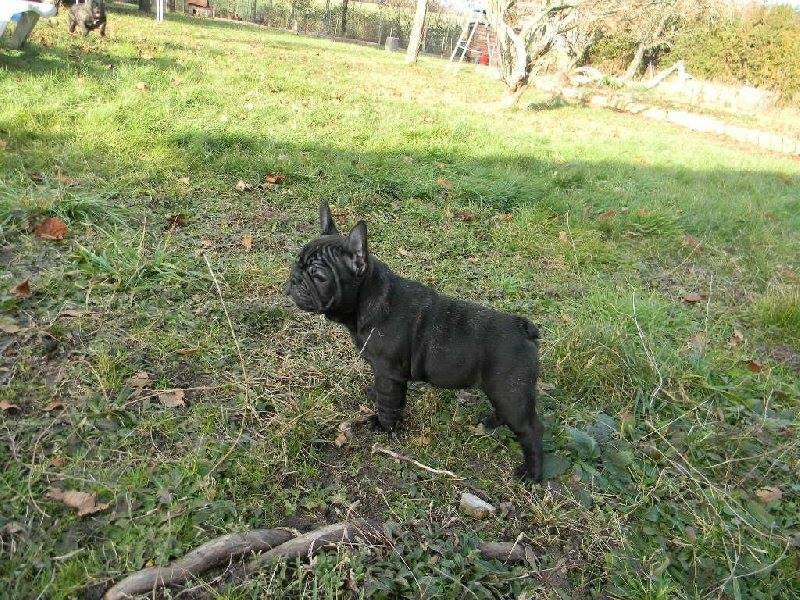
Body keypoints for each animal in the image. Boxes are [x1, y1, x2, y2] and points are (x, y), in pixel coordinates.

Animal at [288, 204, 544, 480]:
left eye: (319, 277)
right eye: (297, 262)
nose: (294, 279)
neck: (367, 298)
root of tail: (524, 328)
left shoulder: (390, 374)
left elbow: (389, 403)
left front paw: (383, 426)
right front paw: (373, 394)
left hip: (510, 392)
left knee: (531, 430)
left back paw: (532, 474)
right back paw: (488, 424)